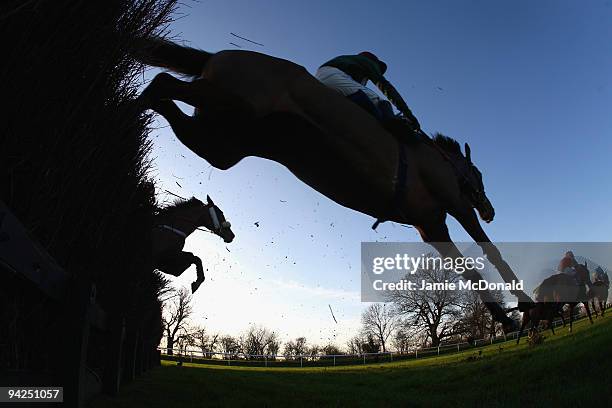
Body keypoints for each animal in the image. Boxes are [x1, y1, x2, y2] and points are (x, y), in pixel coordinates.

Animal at [133, 37, 532, 332]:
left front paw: (506, 319)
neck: (438, 160)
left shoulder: (430, 224)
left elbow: (468, 270)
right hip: (233, 104)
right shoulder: (455, 202)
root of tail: (218, 54)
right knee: (163, 83)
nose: (490, 209)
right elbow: (489, 251)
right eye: (478, 174)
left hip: (222, 143)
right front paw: (526, 308)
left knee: (164, 98)